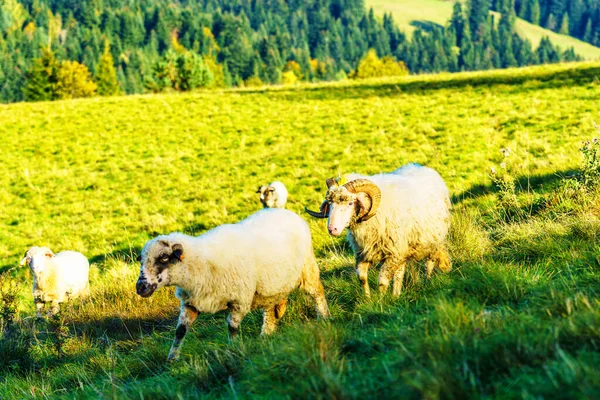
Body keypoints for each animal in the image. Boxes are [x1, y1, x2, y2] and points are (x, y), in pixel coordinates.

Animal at [135, 208, 330, 360]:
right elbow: (180, 331)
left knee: (317, 292)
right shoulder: (190, 303)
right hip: (272, 287)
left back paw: (324, 316)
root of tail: (287, 212)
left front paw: (233, 351)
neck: (201, 263)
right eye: (141, 260)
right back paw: (266, 334)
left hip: (308, 269)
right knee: (271, 310)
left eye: (164, 258)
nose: (140, 287)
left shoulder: (239, 301)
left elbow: (232, 328)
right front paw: (172, 359)